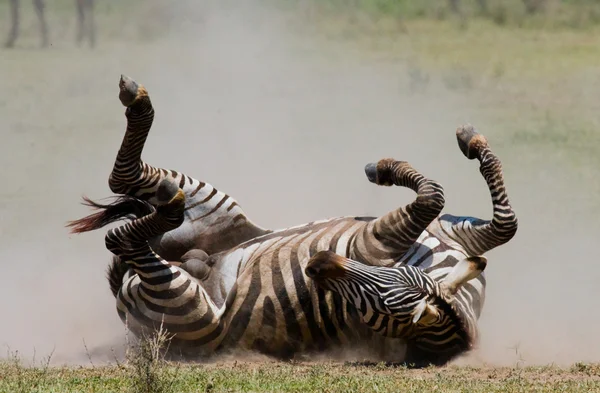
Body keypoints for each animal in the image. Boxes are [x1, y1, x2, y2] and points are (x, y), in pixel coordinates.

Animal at [68, 74, 516, 364]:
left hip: (188, 306)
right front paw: (456, 145)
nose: (317, 262)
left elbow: (434, 197)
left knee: (122, 229)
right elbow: (501, 222)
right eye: (394, 277)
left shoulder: (369, 244)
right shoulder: (449, 235)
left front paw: (387, 168)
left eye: (373, 304)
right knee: (131, 186)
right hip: (220, 212)